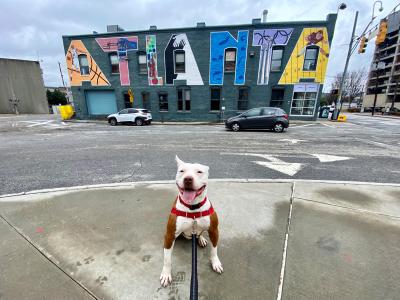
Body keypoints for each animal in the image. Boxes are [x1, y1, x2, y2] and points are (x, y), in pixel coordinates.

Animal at [159, 156, 223, 288]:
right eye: (182, 171)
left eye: (199, 172)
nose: (188, 179)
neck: (193, 208)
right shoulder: (169, 235)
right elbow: (167, 258)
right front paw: (166, 274)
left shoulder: (214, 230)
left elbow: (214, 249)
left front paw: (215, 262)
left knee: (200, 233)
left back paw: (201, 239)